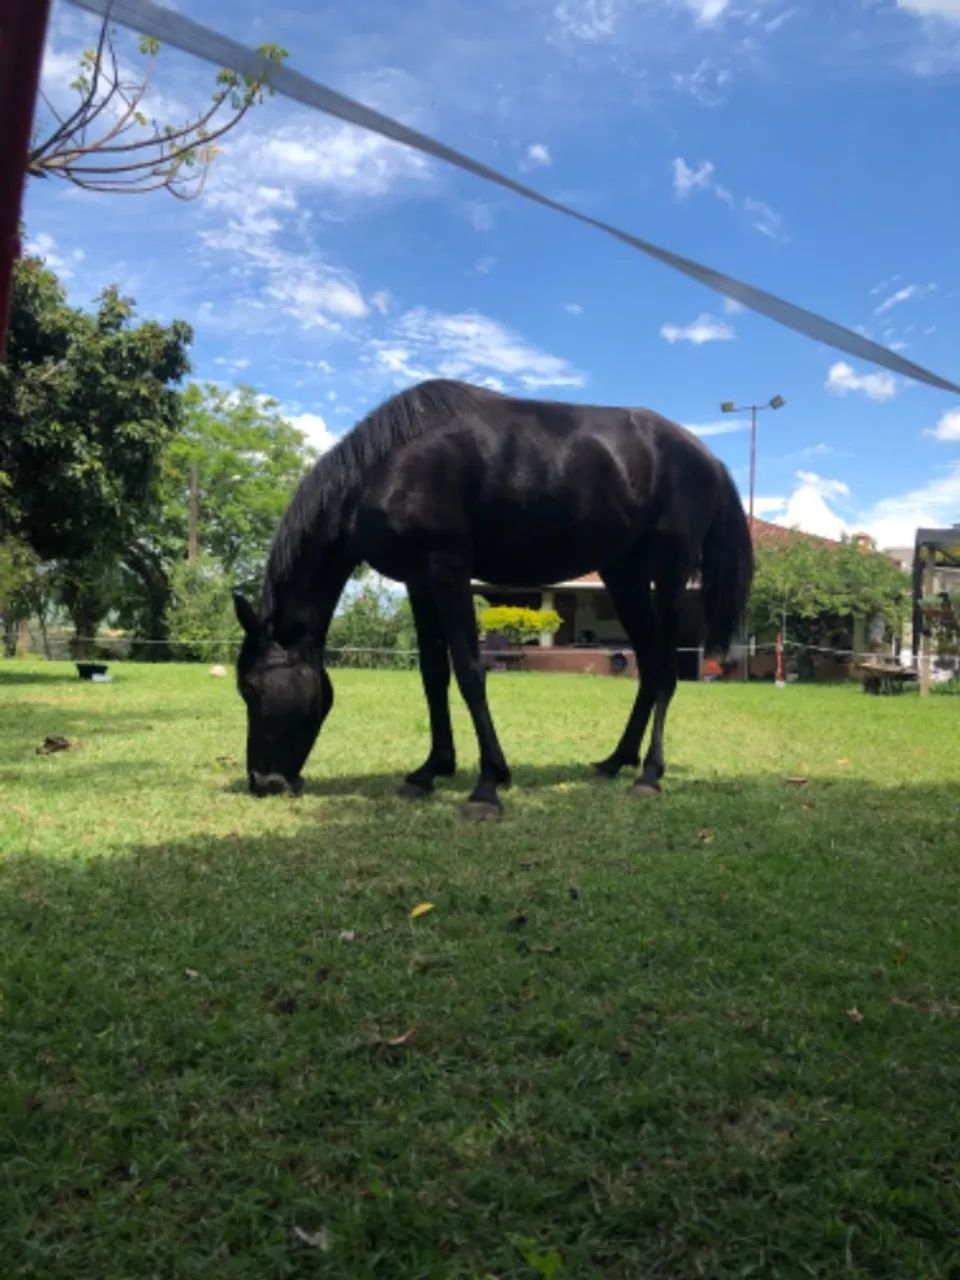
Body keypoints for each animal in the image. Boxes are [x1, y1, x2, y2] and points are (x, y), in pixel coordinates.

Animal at [233, 378, 753, 817]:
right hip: (623, 576)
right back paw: (615, 760)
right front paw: (431, 770)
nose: (264, 782)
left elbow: (469, 672)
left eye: (253, 689)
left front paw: (488, 784)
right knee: (646, 668)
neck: (390, 468)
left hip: (668, 573)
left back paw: (648, 773)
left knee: (664, 671)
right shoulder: (419, 580)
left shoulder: (448, 570)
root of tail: (708, 458)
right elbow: (433, 675)